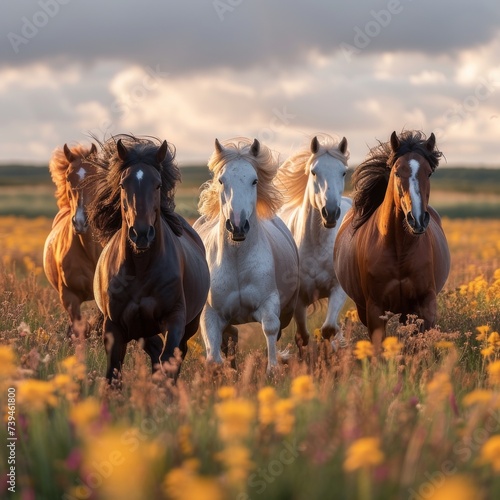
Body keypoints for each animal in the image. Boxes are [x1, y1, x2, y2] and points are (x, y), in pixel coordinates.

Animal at [88, 135, 209, 380]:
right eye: (123, 184)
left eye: (158, 184)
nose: (141, 233)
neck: (140, 268)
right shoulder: (114, 327)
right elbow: (113, 371)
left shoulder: (174, 318)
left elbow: (169, 359)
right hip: (141, 329)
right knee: (154, 350)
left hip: (188, 324)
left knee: (175, 354)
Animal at [193, 137, 298, 372]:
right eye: (221, 180)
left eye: (254, 180)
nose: (238, 226)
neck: (237, 259)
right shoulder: (210, 313)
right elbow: (213, 358)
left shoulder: (269, 303)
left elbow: (271, 328)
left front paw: (273, 368)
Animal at [278, 134, 352, 352]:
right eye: (313, 171)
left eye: (343, 172)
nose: (331, 212)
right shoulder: (300, 299)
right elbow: (302, 337)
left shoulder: (337, 290)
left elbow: (328, 330)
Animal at [334, 131, 452, 350]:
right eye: (397, 172)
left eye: (429, 173)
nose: (417, 219)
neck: (400, 251)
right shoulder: (374, 309)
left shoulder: (426, 303)